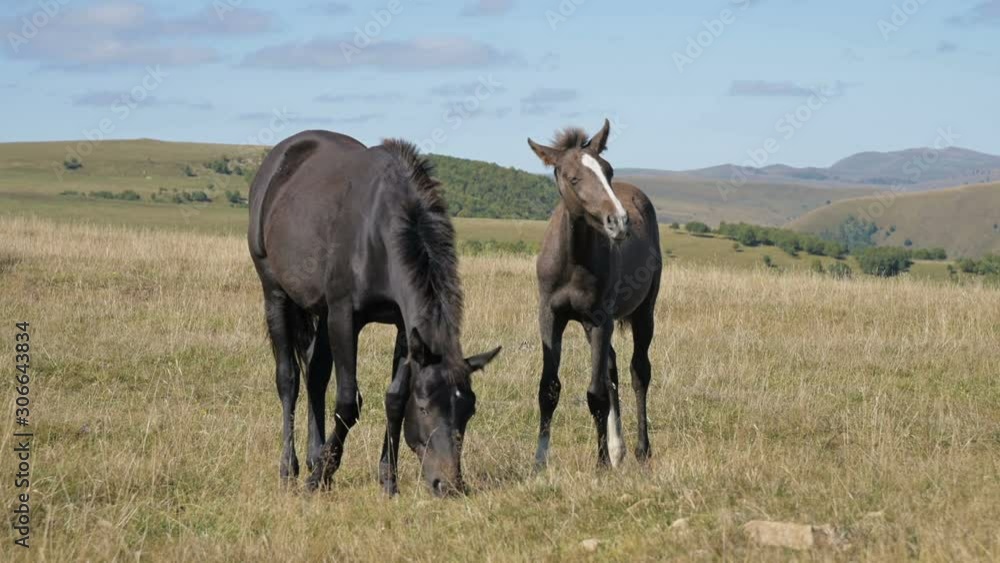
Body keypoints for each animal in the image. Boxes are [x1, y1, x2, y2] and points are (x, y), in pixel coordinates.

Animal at [248, 130, 501, 496]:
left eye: (470, 409)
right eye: (424, 407)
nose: (448, 485)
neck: (377, 232)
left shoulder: (403, 326)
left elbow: (394, 398)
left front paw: (388, 479)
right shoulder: (343, 317)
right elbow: (348, 402)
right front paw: (320, 476)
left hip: (320, 311)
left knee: (315, 374)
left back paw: (313, 454)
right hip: (276, 293)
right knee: (289, 379)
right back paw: (290, 468)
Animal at [527, 119, 662, 469]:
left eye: (608, 170)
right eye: (572, 177)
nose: (619, 221)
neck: (574, 261)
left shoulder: (601, 319)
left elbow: (596, 393)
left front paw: (599, 464)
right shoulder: (551, 316)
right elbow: (548, 388)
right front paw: (539, 461)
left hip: (643, 312)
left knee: (638, 372)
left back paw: (641, 450)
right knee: (612, 367)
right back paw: (618, 449)